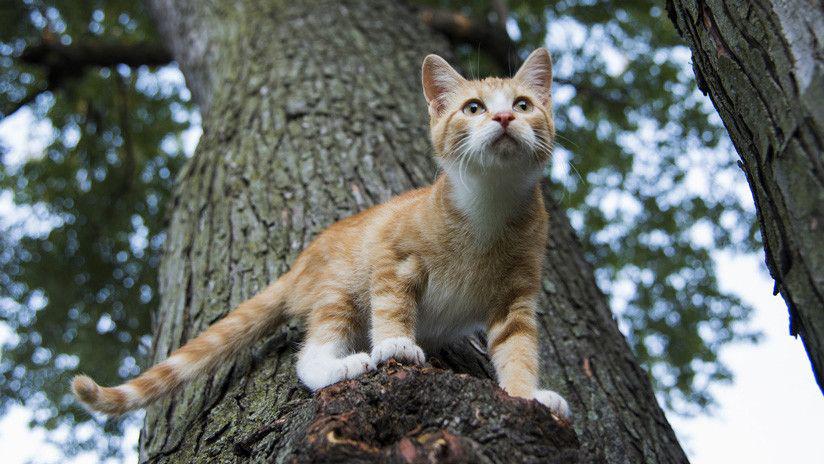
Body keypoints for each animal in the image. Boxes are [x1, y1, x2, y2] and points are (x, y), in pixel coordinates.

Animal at [71, 49, 572, 420]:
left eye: (523, 104)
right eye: (473, 108)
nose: (504, 117)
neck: (487, 206)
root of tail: (300, 262)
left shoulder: (516, 296)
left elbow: (518, 347)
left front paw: (527, 394)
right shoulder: (392, 255)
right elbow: (392, 304)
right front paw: (394, 341)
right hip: (339, 290)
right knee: (310, 355)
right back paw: (342, 364)